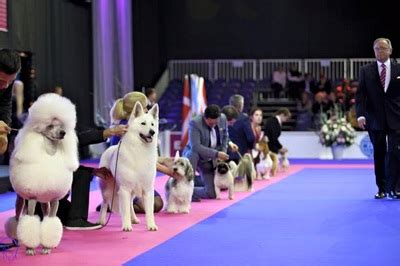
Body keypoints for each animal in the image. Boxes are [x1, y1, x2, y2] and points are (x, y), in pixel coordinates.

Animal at [5, 94, 79, 256]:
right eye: (50, 126)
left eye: (61, 126)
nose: (63, 133)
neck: (49, 151)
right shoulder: (32, 199)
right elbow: (30, 221)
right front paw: (30, 248)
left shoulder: (55, 199)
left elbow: (50, 222)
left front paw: (47, 246)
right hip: (21, 199)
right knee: (18, 216)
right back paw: (17, 238)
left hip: (45, 200)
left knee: (45, 214)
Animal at [97, 103, 159, 232]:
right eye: (143, 123)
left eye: (152, 124)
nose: (152, 132)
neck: (140, 150)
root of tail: (110, 148)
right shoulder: (125, 189)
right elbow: (124, 211)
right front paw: (126, 226)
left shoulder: (147, 190)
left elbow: (149, 212)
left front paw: (151, 225)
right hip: (107, 190)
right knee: (104, 203)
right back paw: (101, 221)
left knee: (130, 204)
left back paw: (134, 219)